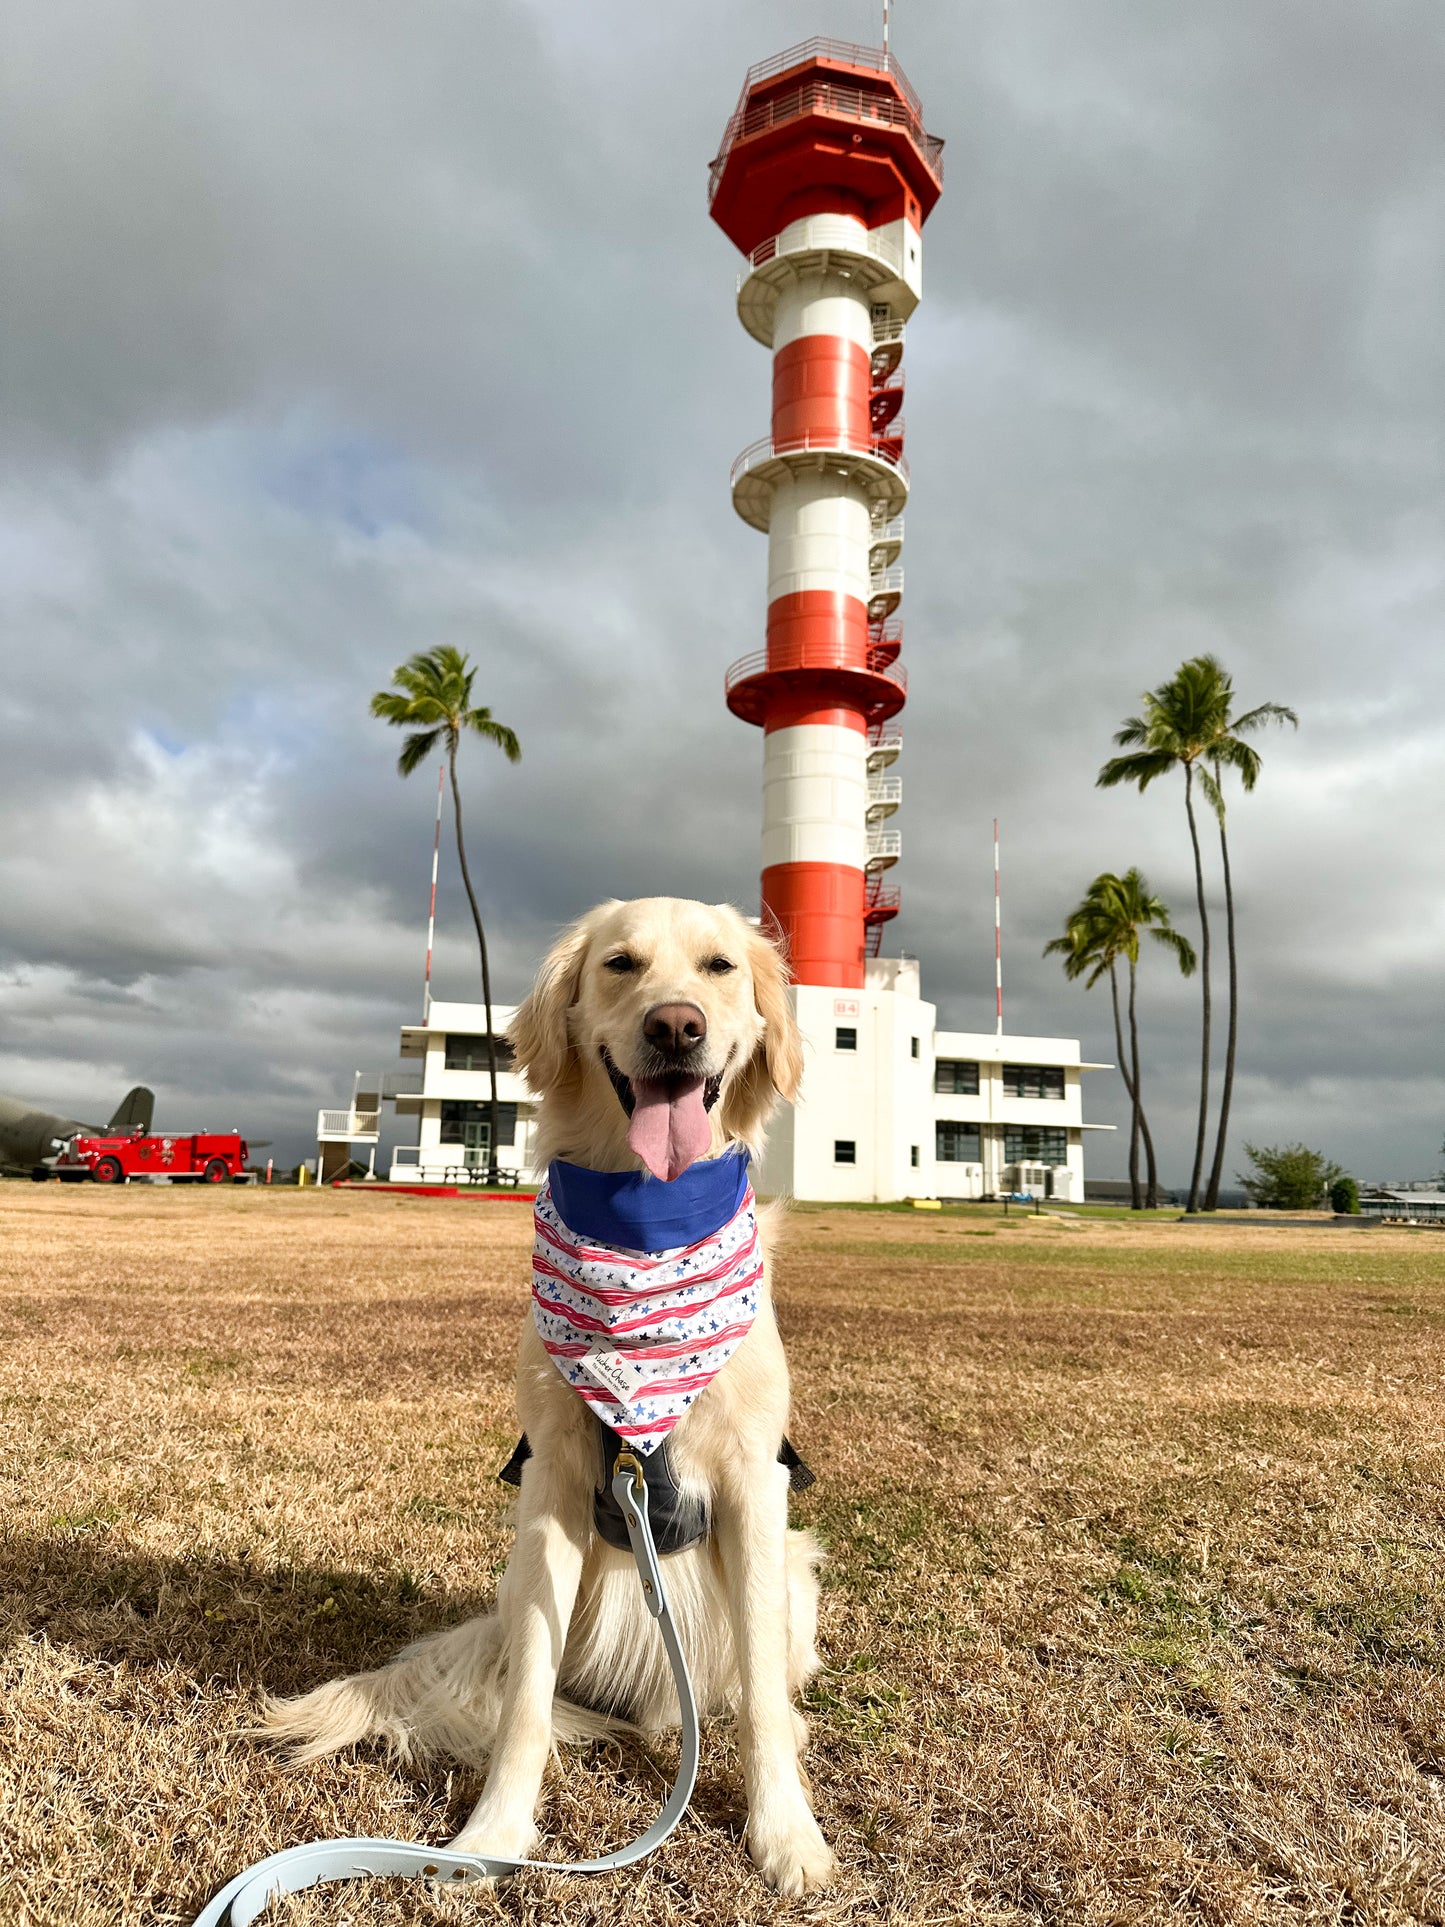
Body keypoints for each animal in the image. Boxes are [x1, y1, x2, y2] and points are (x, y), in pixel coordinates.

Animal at [265, 894, 836, 1888]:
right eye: (620, 964)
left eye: (719, 967)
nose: (675, 1026)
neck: (647, 1229)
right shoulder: (556, 1485)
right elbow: (526, 1700)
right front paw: (492, 1832)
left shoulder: (753, 1486)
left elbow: (763, 1699)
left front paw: (785, 1833)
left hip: (793, 1575)